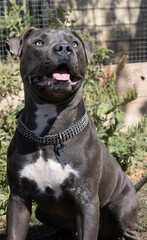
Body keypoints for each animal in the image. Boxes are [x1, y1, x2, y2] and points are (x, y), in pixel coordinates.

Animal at [5, 28, 146, 240]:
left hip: (122, 208)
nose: (64, 48)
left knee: (128, 229)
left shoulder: (86, 199)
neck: (50, 135)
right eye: (39, 43)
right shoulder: (18, 197)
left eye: (75, 43)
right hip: (42, 212)